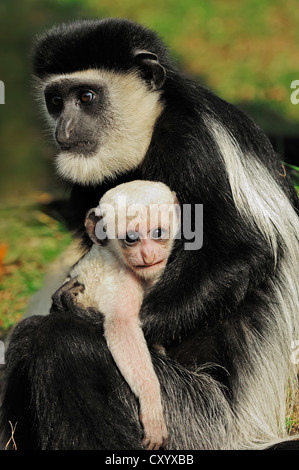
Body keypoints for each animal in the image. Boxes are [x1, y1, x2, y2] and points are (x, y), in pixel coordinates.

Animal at [68, 179, 180, 448]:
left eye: (158, 233)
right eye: (131, 239)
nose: (148, 255)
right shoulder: (123, 277)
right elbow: (121, 325)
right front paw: (151, 405)